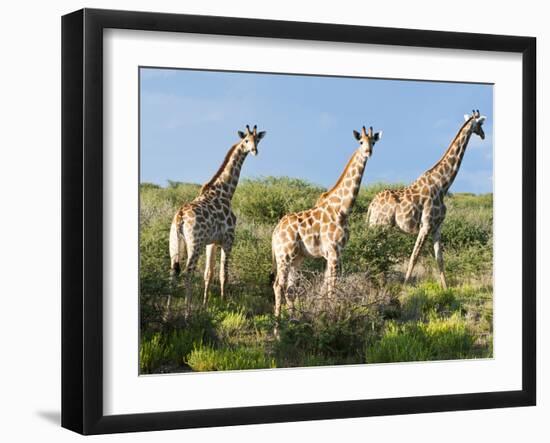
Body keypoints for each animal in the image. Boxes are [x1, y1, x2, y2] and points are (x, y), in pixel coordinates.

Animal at [169, 123, 268, 314]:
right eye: (246, 140)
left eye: (257, 139)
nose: (254, 150)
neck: (226, 192)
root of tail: (180, 217)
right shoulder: (228, 239)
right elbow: (224, 274)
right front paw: (224, 304)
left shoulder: (212, 242)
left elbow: (209, 273)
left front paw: (205, 304)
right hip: (195, 243)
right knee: (188, 272)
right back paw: (187, 310)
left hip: (175, 244)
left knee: (173, 272)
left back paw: (168, 312)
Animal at [272, 125, 384, 322]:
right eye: (360, 141)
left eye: (374, 141)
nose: (368, 152)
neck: (342, 209)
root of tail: (274, 234)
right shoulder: (333, 250)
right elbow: (332, 285)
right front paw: (330, 314)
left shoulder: (335, 252)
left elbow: (326, 284)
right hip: (284, 255)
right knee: (279, 285)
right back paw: (277, 323)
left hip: (297, 258)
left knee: (290, 289)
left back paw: (293, 320)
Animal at [368, 111, 490, 290]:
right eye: (481, 124)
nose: (483, 135)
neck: (442, 184)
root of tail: (371, 205)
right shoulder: (425, 225)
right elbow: (414, 256)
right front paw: (405, 286)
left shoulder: (437, 226)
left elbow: (439, 258)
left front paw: (446, 288)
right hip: (381, 226)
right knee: (376, 250)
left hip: (378, 226)